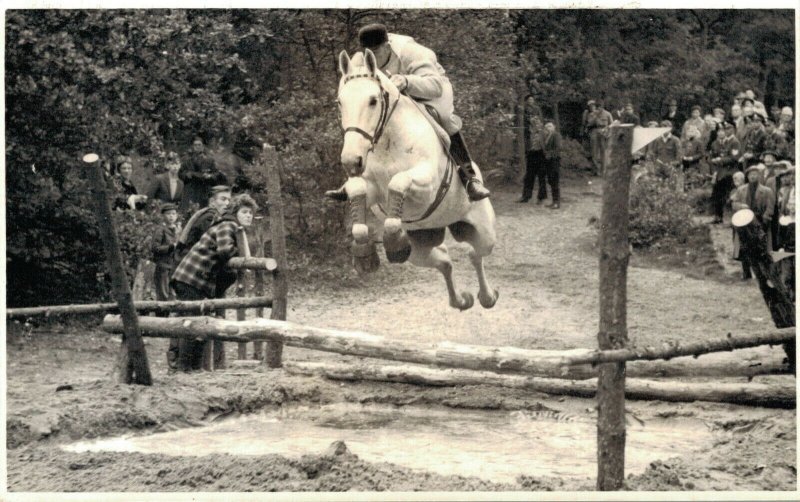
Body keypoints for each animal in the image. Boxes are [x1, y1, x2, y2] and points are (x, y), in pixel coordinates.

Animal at [334, 51, 496, 310]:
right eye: (340, 102)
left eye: (373, 101)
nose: (351, 161)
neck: (387, 139)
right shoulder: (371, 188)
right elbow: (358, 192)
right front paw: (365, 255)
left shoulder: (427, 185)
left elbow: (397, 183)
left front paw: (392, 241)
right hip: (420, 248)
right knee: (445, 261)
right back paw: (461, 300)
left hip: (484, 232)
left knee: (475, 254)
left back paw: (487, 297)